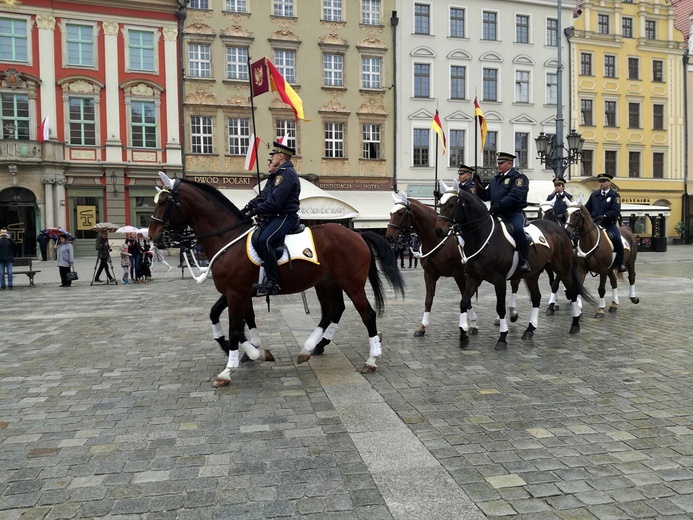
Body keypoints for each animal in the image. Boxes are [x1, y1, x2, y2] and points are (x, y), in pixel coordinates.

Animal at [148, 173, 402, 384]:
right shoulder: (235, 292)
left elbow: (235, 329)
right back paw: (310, 348)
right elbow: (223, 318)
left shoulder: (236, 293)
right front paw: (250, 351)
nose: (152, 237)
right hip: (326, 283)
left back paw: (371, 359)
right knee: (333, 311)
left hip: (351, 284)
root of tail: (357, 235)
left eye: (164, 202)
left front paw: (230, 368)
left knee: (366, 314)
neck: (229, 239)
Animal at [436, 187, 592, 350]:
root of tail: (562, 230)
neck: (483, 237)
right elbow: (464, 302)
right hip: (532, 274)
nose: (439, 230)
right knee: (536, 297)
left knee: (572, 291)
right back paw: (530, 329)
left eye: (452, 204)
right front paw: (463, 335)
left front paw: (502, 337)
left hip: (563, 269)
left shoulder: (499, 280)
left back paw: (575, 323)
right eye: (440, 204)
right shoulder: (474, 278)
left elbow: (500, 307)